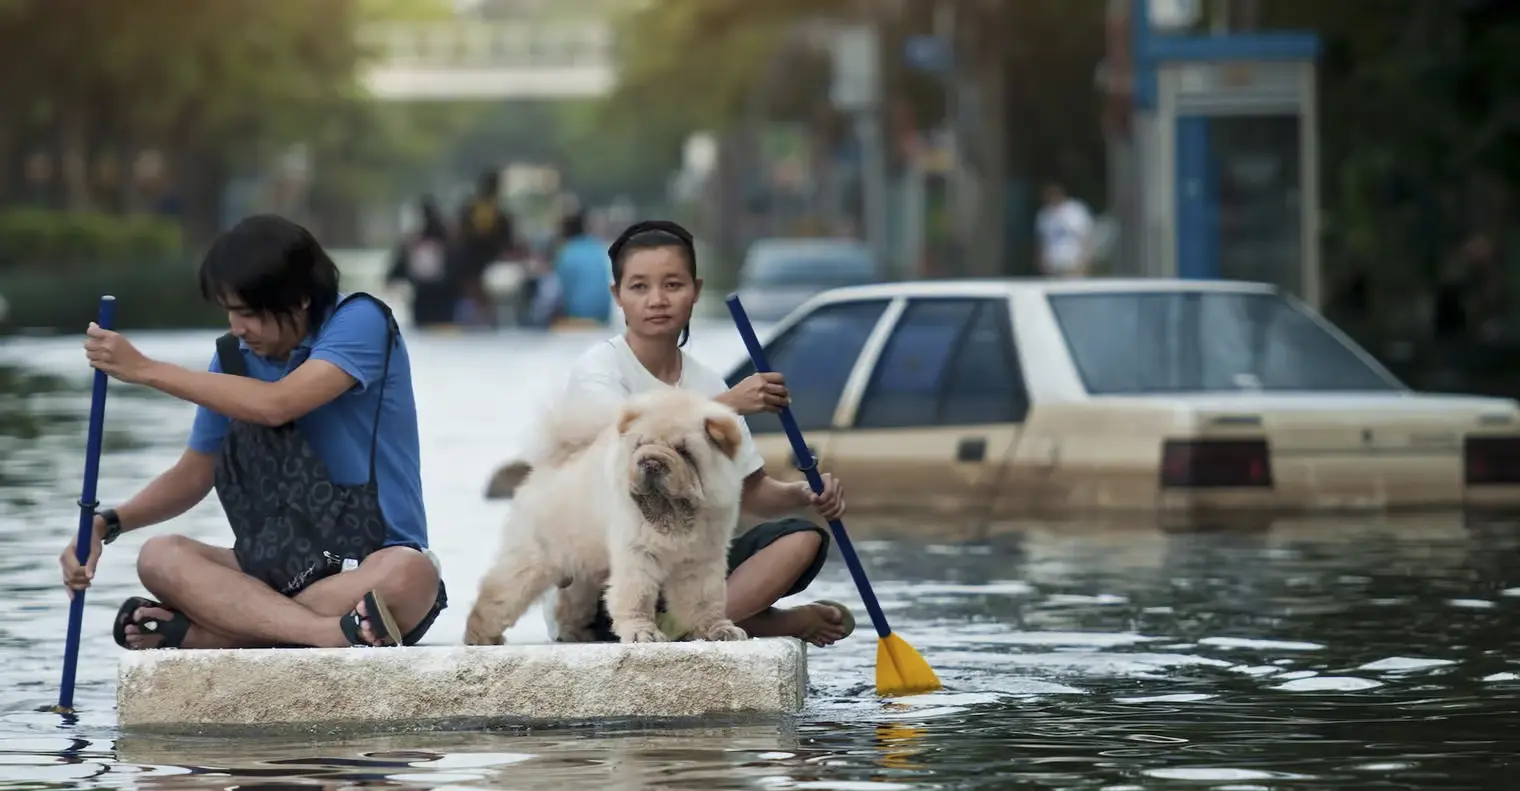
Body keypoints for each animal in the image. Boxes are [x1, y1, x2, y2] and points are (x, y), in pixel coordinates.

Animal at [462, 387, 747, 641]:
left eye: (684, 451)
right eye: (640, 445)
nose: (651, 462)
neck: (673, 517)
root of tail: (547, 466)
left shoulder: (701, 559)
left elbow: (704, 599)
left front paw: (720, 630)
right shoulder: (637, 552)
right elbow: (637, 594)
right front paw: (642, 633)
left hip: (582, 568)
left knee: (570, 604)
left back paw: (577, 635)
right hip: (531, 561)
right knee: (497, 595)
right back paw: (480, 638)